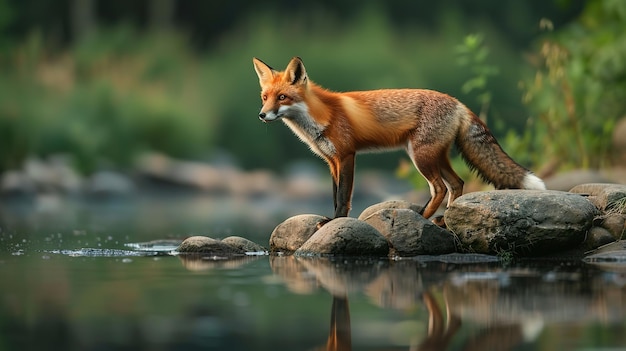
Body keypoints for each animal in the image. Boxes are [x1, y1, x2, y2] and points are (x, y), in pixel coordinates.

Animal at [251, 56, 544, 224]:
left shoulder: (347, 156)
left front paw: (335, 221)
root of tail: (458, 102)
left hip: (421, 157)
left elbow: (343, 196)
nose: (262, 115)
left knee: (439, 188)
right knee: (457, 184)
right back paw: (444, 220)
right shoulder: (332, 162)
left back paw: (421, 218)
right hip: (436, 156)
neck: (322, 114)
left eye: (282, 97)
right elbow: (334, 195)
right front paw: (332, 219)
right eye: (265, 97)